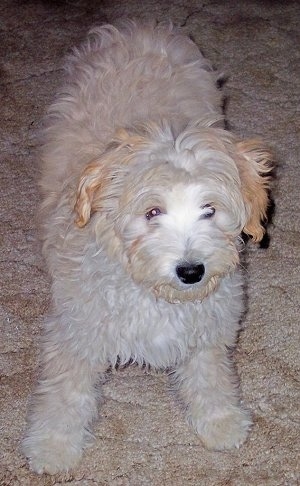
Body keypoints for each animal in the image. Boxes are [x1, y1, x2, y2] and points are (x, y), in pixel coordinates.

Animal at [22, 20, 274, 472]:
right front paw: (52, 446)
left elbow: (210, 373)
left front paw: (221, 421)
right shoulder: (77, 329)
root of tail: (142, 29)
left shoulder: (209, 325)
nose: (191, 271)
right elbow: (66, 389)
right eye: (152, 212)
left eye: (209, 210)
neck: (155, 294)